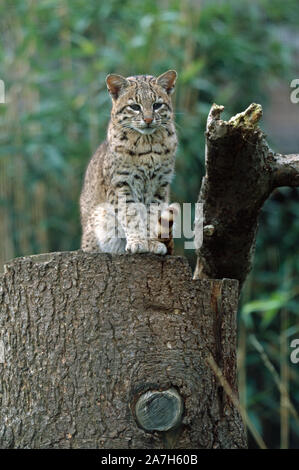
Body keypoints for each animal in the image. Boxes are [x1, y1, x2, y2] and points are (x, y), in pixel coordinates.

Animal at [79, 70, 178, 255]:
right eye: (135, 107)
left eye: (157, 105)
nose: (148, 120)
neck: (148, 143)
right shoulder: (121, 183)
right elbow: (130, 213)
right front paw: (138, 241)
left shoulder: (161, 185)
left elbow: (152, 215)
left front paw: (151, 242)